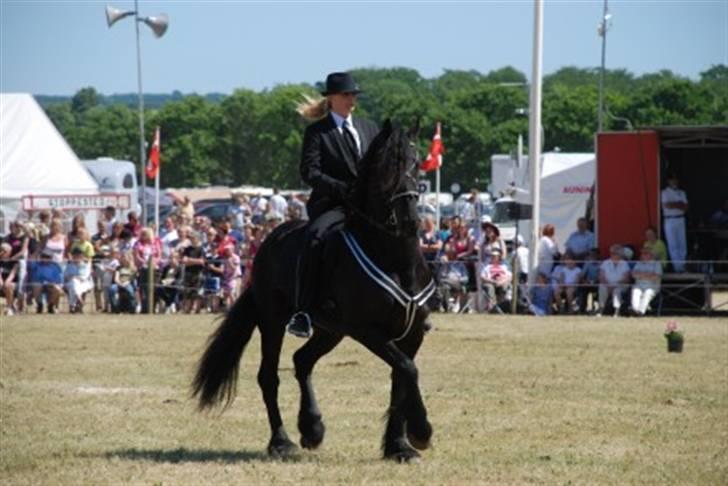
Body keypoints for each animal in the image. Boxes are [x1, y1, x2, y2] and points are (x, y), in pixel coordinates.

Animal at [191, 119, 436, 462]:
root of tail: (270, 238)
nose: (410, 220)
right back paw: (281, 442)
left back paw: (312, 428)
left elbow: (401, 376)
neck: (397, 259)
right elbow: (407, 369)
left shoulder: (412, 333)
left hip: (330, 330)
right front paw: (421, 431)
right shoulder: (366, 330)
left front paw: (398, 446)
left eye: (416, 163)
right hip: (273, 321)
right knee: (269, 376)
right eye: (387, 166)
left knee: (302, 360)